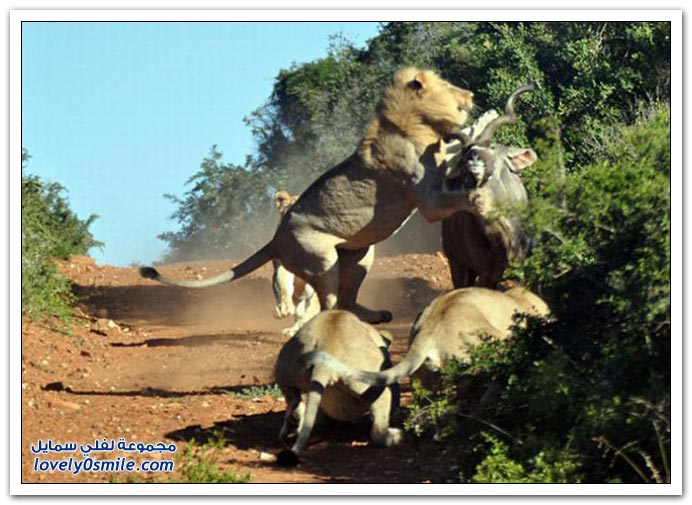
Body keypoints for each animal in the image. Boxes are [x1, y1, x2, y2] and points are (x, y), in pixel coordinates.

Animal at [273, 310, 402, 466]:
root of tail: (326, 348)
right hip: (371, 382)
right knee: (378, 432)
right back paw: (394, 437)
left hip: (284, 367)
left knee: (294, 399)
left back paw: (291, 426)